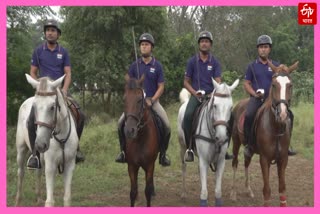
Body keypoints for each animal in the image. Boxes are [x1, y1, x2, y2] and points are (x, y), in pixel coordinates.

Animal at [15, 74, 79, 206]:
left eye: (52, 107)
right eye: (34, 107)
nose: (40, 144)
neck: (61, 136)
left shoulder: (69, 165)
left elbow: (67, 198)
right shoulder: (51, 166)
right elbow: (50, 201)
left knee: (38, 171)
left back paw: (38, 197)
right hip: (21, 149)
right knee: (21, 172)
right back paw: (18, 201)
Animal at [123, 74, 159, 206]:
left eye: (139, 100)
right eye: (124, 99)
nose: (129, 131)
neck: (140, 139)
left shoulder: (149, 165)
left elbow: (147, 191)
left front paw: (150, 192)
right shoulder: (132, 166)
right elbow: (133, 192)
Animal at [178, 78, 240, 206]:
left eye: (230, 107)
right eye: (215, 106)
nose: (221, 136)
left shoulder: (220, 161)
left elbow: (218, 191)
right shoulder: (204, 160)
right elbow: (204, 193)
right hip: (182, 147)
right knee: (183, 166)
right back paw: (184, 193)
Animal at [230, 61, 298, 206]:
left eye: (290, 85)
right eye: (274, 85)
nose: (282, 114)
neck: (275, 127)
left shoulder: (283, 159)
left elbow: (282, 189)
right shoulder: (264, 159)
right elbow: (266, 190)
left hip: (248, 150)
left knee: (246, 163)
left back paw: (248, 190)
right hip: (236, 142)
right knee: (235, 163)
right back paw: (233, 193)